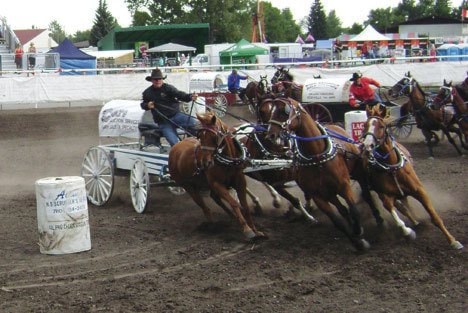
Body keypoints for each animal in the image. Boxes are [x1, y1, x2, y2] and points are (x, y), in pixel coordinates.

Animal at [266, 96, 372, 250]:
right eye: (271, 111)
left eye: (283, 111)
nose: (270, 135)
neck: (317, 157)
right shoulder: (318, 196)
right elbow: (337, 222)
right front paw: (357, 242)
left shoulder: (344, 186)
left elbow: (354, 210)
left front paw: (359, 232)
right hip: (329, 193)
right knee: (342, 210)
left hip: (356, 175)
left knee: (363, 196)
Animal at [360, 114, 462, 249]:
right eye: (364, 125)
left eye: (381, 126)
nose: (367, 145)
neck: (391, 168)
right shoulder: (385, 196)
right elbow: (395, 214)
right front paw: (408, 233)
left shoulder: (419, 191)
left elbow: (435, 217)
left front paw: (453, 241)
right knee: (403, 207)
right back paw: (415, 222)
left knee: (406, 205)